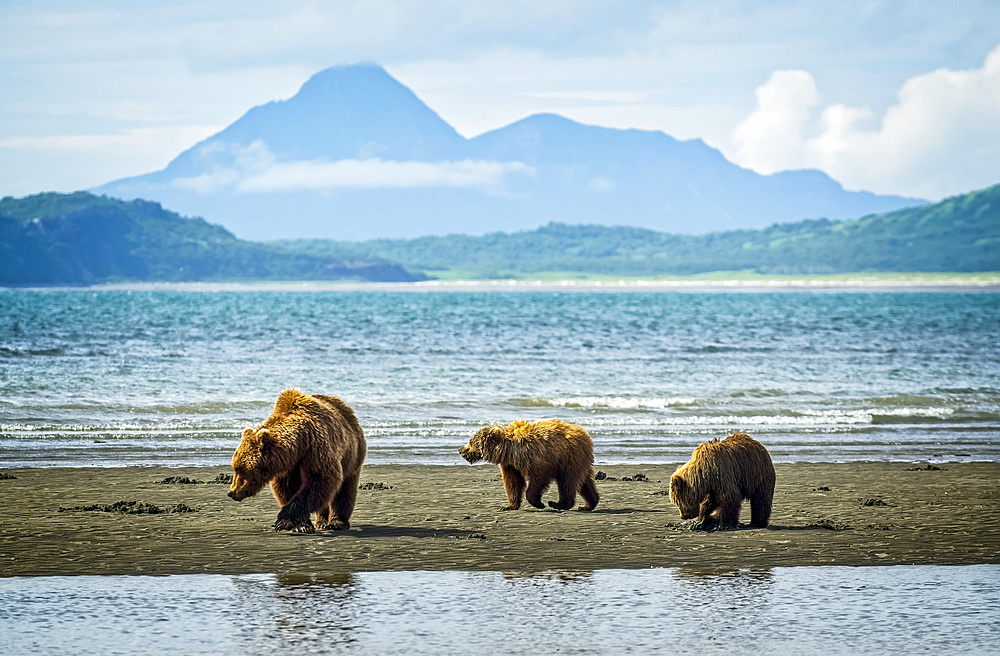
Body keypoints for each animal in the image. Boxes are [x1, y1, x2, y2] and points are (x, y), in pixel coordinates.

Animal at [229, 390, 366, 532]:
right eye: (235, 467)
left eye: (241, 470)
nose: (231, 492)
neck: (299, 445)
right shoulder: (287, 464)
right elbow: (288, 487)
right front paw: (301, 525)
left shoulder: (315, 448)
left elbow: (319, 479)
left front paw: (283, 520)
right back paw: (321, 522)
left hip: (352, 455)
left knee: (344, 490)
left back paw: (337, 522)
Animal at [460, 420, 600, 512]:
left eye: (471, 442)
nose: (461, 450)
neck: (509, 451)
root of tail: (585, 434)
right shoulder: (510, 465)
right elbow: (513, 483)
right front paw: (509, 506)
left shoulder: (537, 458)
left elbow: (538, 479)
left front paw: (539, 503)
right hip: (579, 460)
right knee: (585, 482)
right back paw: (588, 505)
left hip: (569, 458)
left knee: (567, 481)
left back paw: (558, 504)